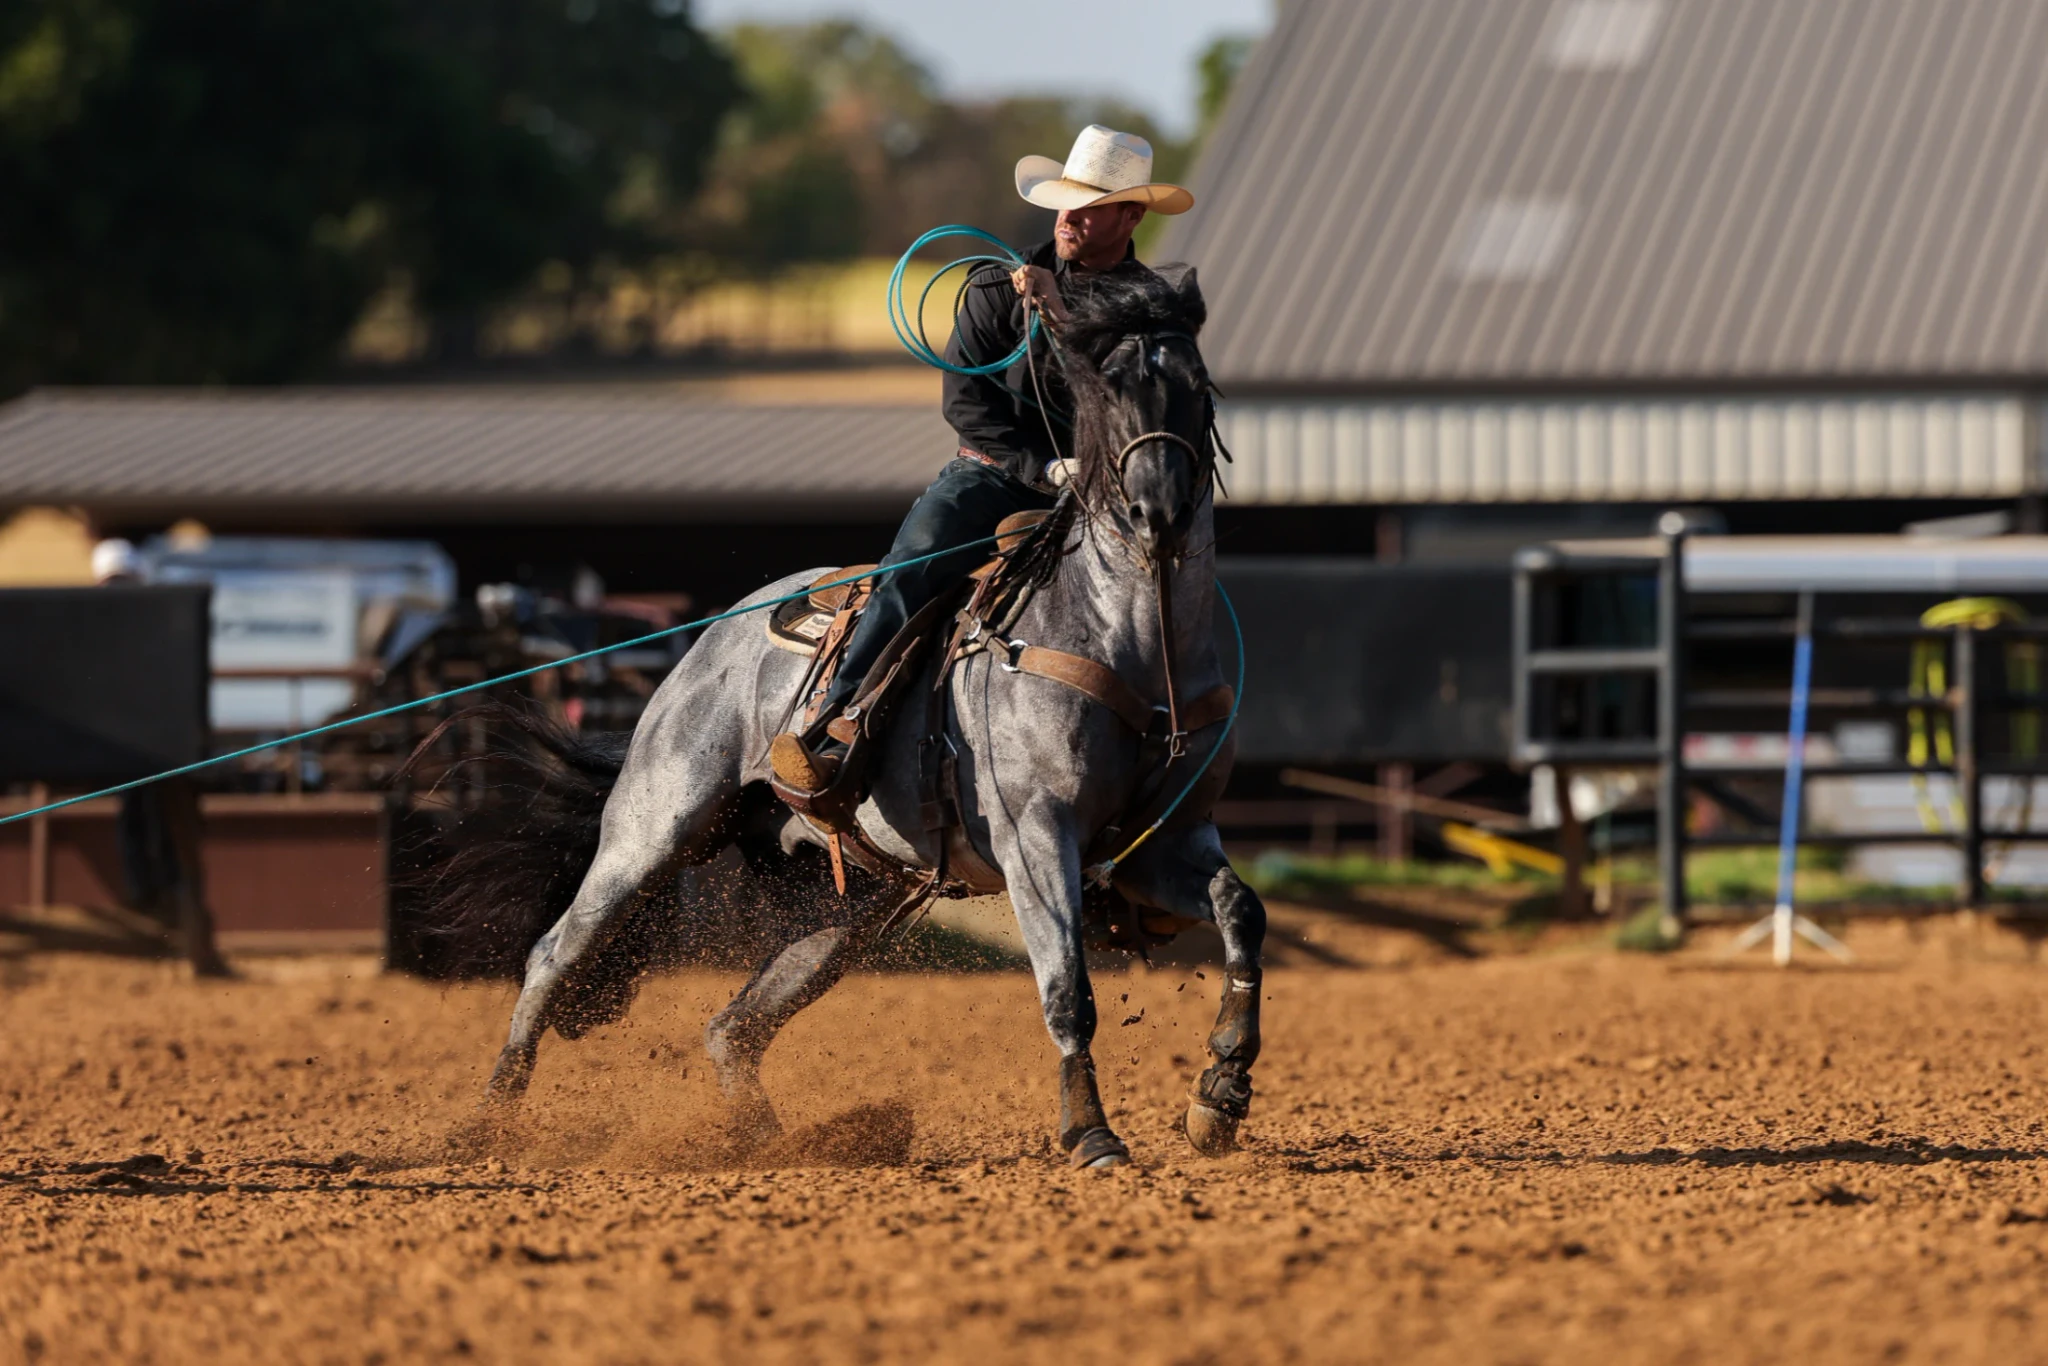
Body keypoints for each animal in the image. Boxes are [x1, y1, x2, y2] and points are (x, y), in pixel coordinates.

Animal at [433, 264, 1267, 1168]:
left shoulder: (1164, 841)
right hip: (653, 830)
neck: (1128, 642)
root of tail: (708, 640)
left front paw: (1221, 1089)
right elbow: (1067, 989)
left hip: (848, 907)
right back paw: (487, 1123)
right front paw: (1091, 1133)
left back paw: (776, 1145)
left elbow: (1241, 912)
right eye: (1107, 389)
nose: (1159, 513)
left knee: (733, 1025)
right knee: (556, 955)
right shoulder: (1038, 838)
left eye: (1199, 387)